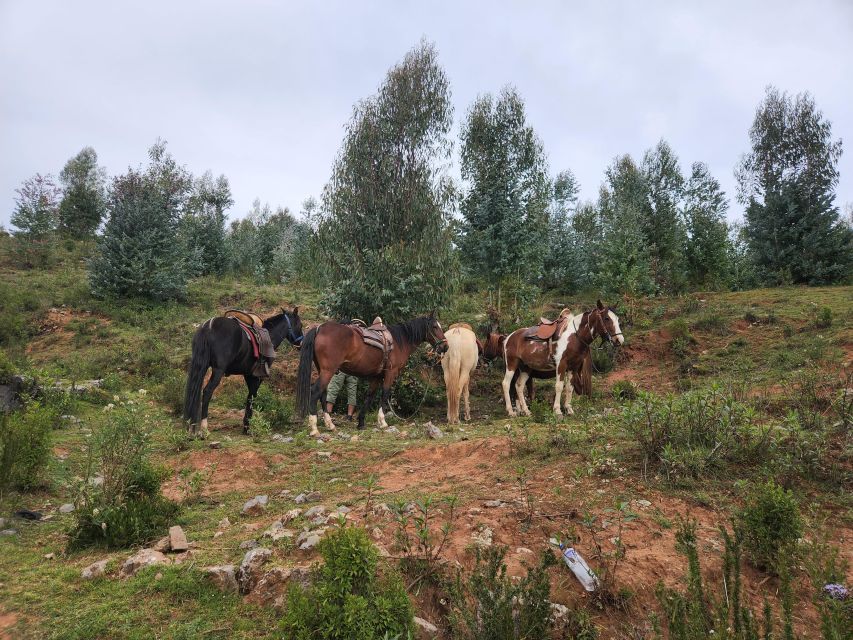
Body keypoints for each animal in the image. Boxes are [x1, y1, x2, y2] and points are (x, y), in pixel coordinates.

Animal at [294, 314, 446, 436]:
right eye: (434, 327)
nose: (445, 346)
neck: (399, 341)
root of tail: (319, 328)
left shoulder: (376, 376)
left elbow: (369, 396)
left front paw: (361, 422)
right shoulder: (390, 373)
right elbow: (384, 394)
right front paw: (382, 422)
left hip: (323, 370)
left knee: (323, 394)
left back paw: (330, 424)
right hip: (328, 371)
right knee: (315, 392)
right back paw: (314, 428)